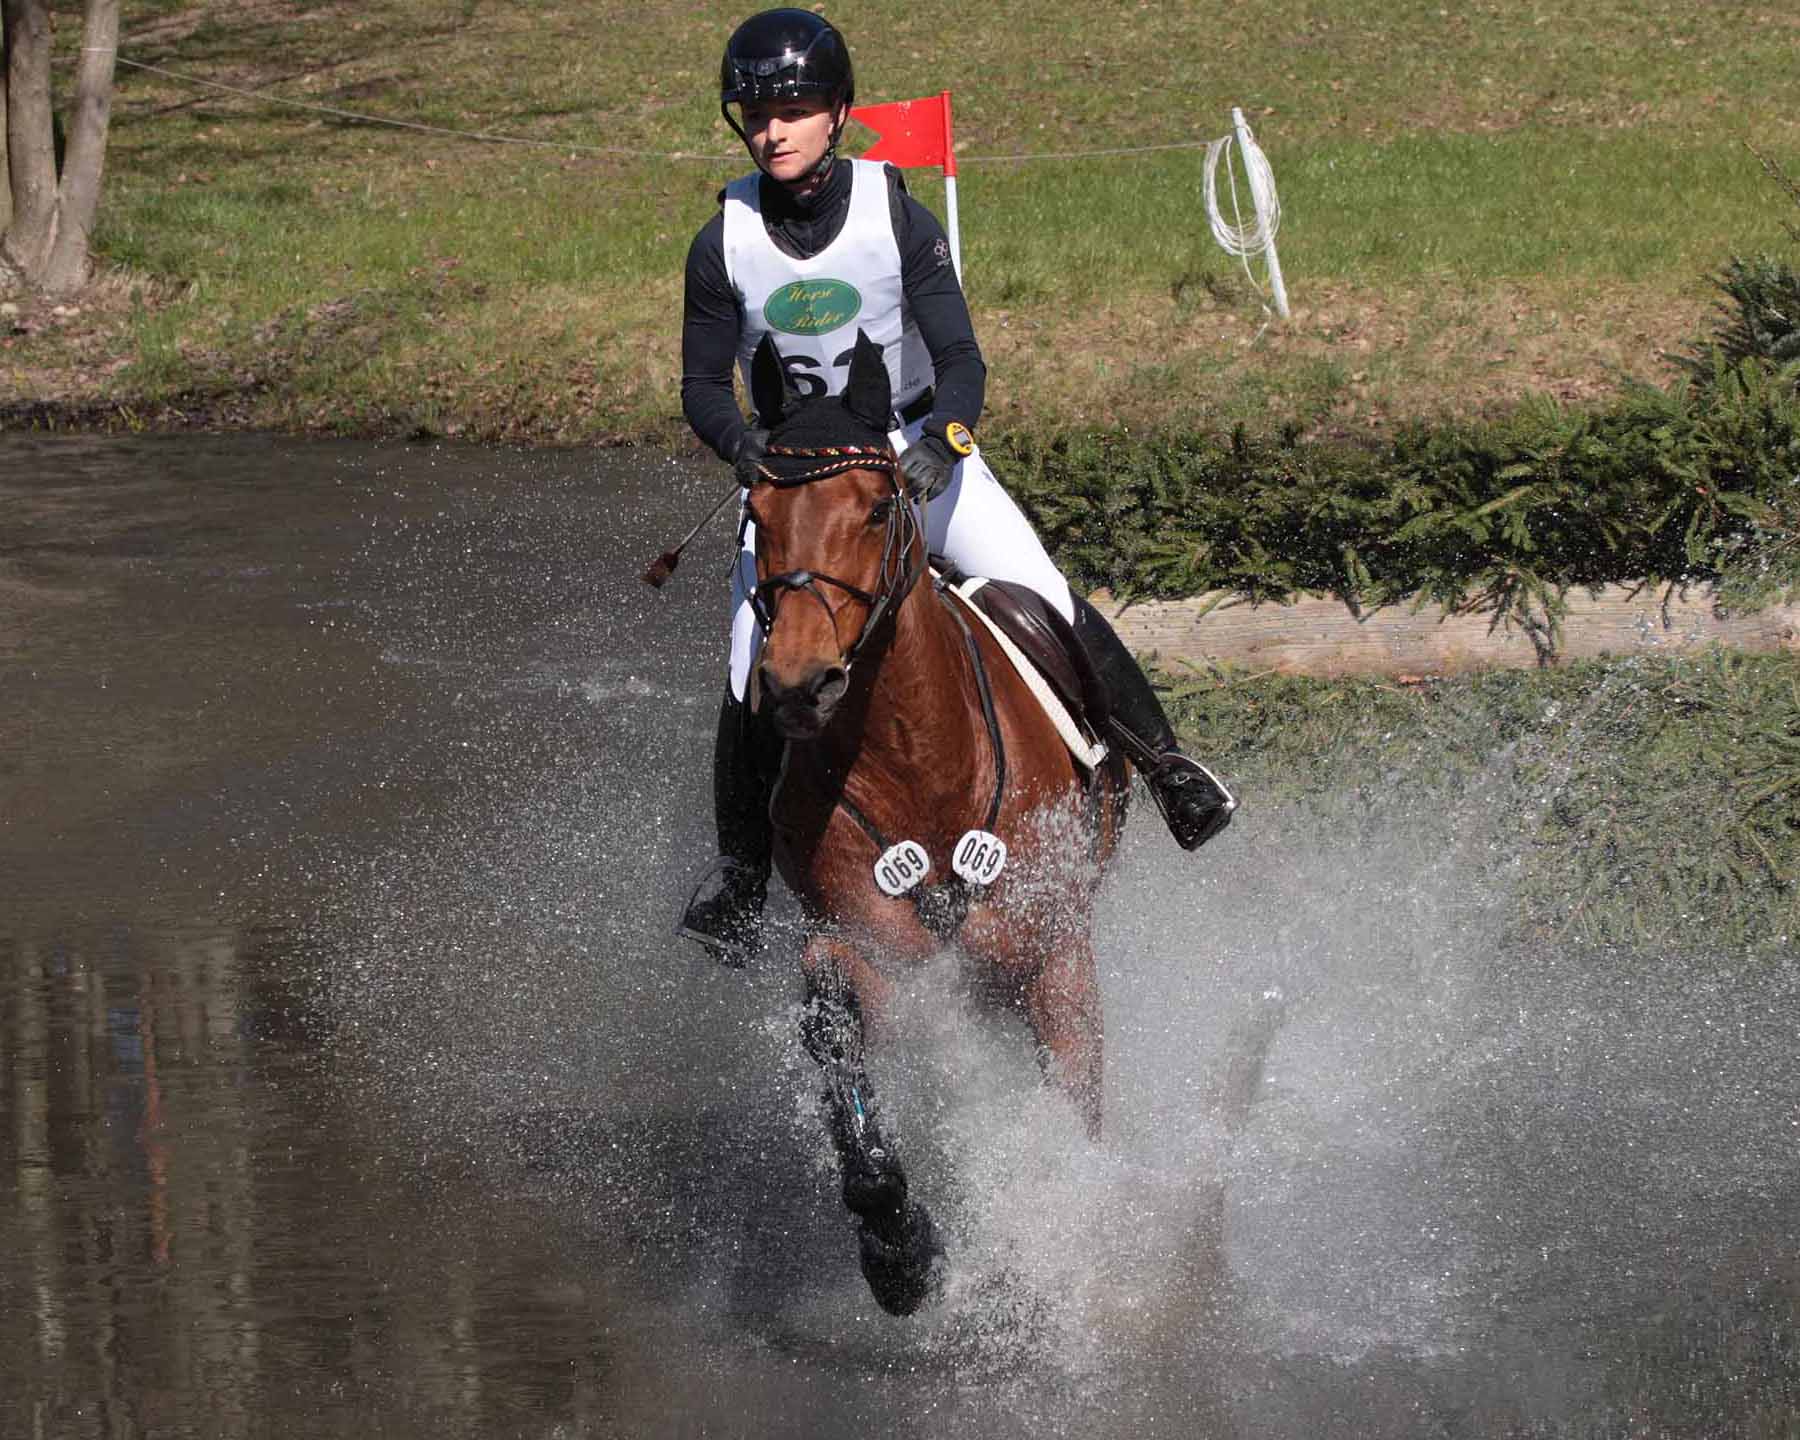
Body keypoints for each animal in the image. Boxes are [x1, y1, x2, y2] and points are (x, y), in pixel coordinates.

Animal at [738, 329, 1130, 1317]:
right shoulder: (867, 950)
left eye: (879, 508)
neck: (923, 759)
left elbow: (1074, 1112)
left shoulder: (1053, 952)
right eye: (757, 513)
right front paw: (898, 1246)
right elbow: (838, 1038)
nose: (799, 685)